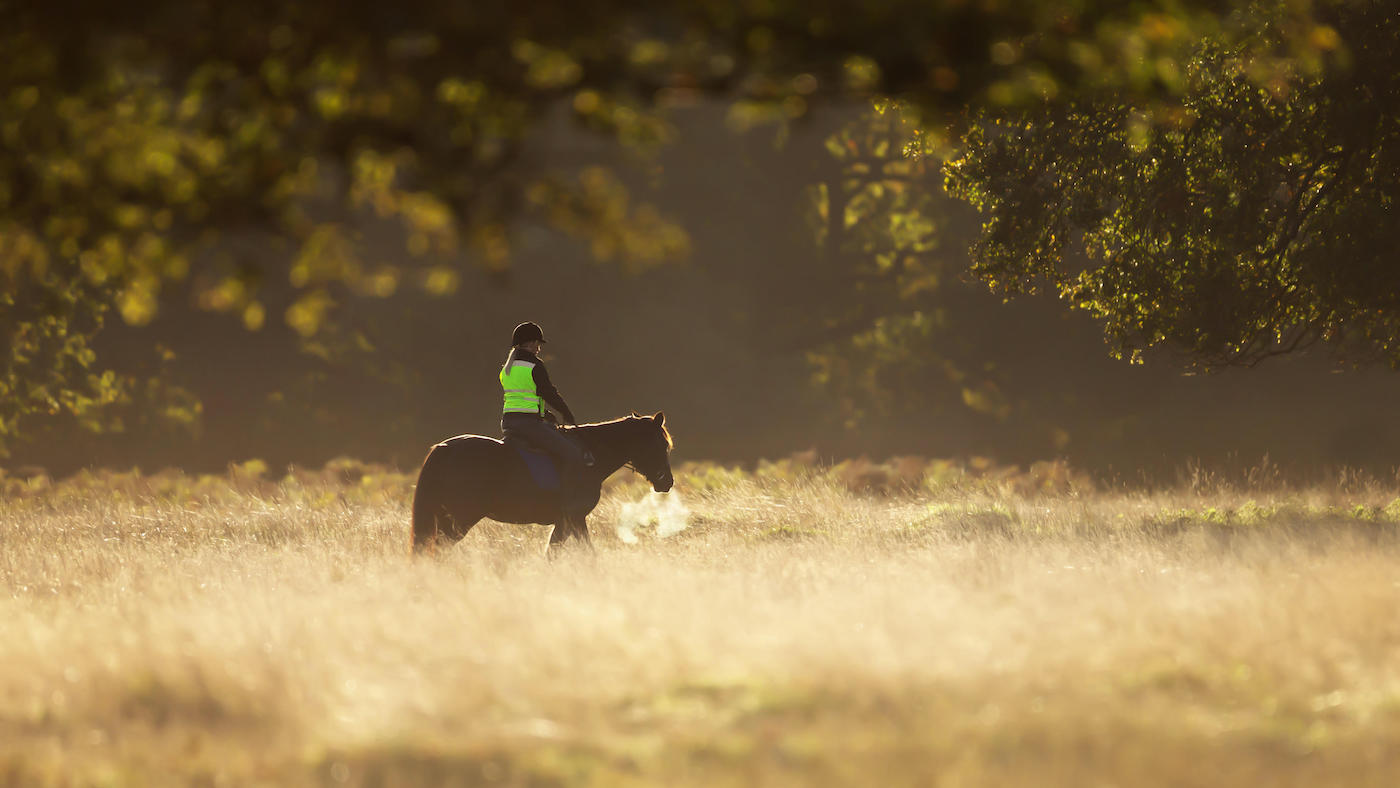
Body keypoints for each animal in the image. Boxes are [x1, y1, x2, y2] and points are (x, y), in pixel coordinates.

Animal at [411, 411, 674, 555]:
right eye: (661, 444)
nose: (667, 482)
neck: (591, 455)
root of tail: (444, 448)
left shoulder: (566, 522)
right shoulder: (574, 518)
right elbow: (588, 555)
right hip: (459, 519)